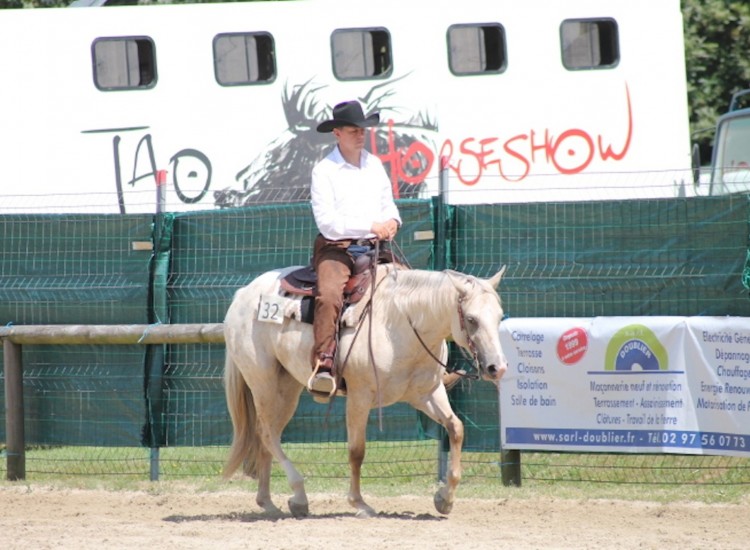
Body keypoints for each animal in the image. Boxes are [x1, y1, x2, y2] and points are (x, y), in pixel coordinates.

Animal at [222, 264, 508, 518]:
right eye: (471, 319)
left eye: (499, 317)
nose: (497, 367)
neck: (399, 323)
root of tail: (243, 294)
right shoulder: (360, 397)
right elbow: (357, 451)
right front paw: (359, 503)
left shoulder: (428, 394)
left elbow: (456, 428)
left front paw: (445, 499)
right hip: (264, 382)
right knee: (266, 433)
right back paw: (299, 495)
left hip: (287, 386)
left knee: (267, 436)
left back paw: (268, 502)